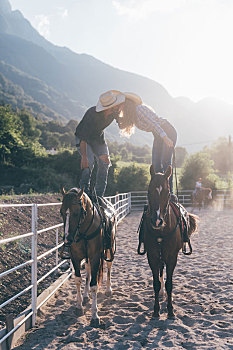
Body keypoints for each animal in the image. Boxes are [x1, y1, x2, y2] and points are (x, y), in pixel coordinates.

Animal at [59, 187, 115, 326]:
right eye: (61, 212)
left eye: (76, 213)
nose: (67, 239)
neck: (83, 231)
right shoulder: (75, 257)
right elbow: (78, 279)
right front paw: (79, 306)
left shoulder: (95, 257)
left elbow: (94, 285)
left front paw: (95, 315)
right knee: (88, 270)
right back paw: (85, 295)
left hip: (110, 249)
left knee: (109, 266)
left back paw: (108, 289)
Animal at [145, 165, 198, 318]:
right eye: (149, 191)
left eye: (167, 194)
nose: (157, 221)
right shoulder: (152, 256)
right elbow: (156, 283)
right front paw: (156, 311)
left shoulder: (172, 257)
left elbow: (169, 283)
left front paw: (170, 310)